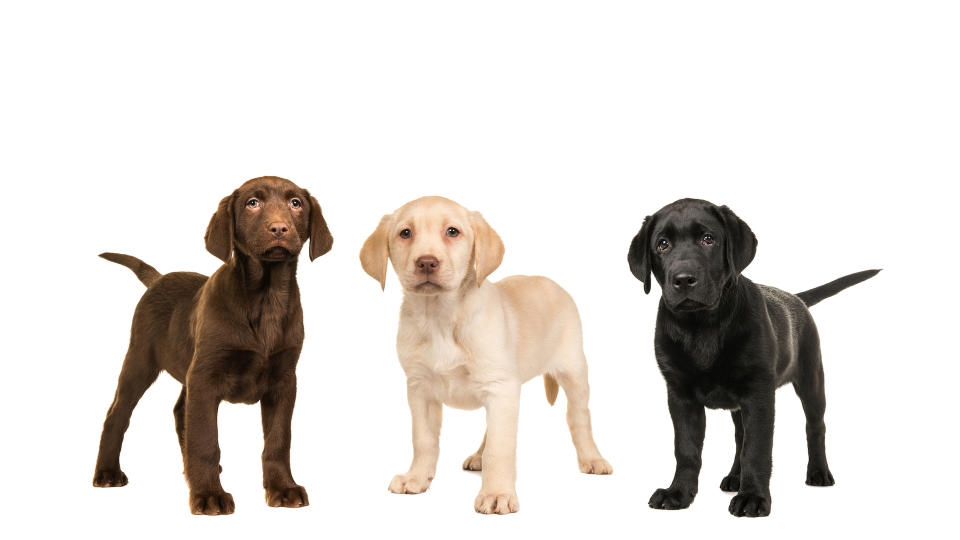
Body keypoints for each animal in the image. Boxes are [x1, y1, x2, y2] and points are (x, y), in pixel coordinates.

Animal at [94, 176, 334, 516]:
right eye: (252, 203)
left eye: (296, 203)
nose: (279, 228)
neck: (267, 297)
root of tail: (158, 280)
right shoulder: (206, 377)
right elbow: (206, 440)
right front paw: (209, 495)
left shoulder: (284, 380)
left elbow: (278, 441)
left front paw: (283, 488)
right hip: (141, 360)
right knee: (117, 414)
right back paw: (107, 473)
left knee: (180, 411)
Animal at [356, 195, 612, 516]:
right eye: (405, 233)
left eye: (452, 232)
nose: (426, 262)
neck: (439, 317)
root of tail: (550, 281)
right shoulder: (419, 389)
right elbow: (423, 440)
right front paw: (416, 477)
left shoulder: (500, 388)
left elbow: (500, 449)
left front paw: (497, 493)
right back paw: (478, 456)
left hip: (573, 370)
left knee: (579, 416)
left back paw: (592, 459)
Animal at [628, 196, 880, 516]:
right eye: (662, 244)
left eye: (708, 239)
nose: (684, 280)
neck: (702, 326)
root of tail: (796, 298)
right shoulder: (680, 395)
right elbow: (686, 450)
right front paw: (678, 493)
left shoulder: (759, 394)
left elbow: (757, 449)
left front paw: (754, 498)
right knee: (740, 436)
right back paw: (735, 478)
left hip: (811, 379)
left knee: (815, 427)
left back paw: (818, 473)